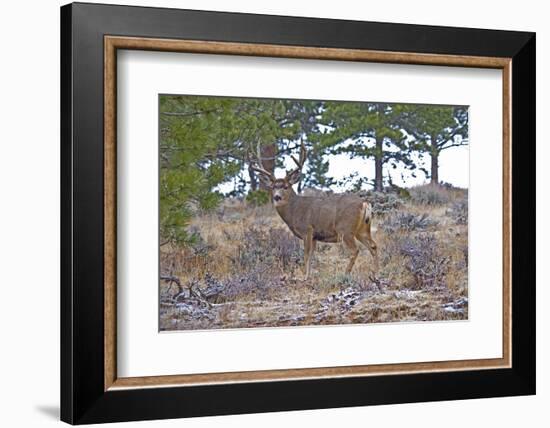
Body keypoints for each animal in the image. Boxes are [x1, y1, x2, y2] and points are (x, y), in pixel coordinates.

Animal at [251, 142, 378, 280]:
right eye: (273, 187)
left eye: (286, 187)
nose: (277, 197)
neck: (294, 211)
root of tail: (365, 203)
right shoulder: (315, 236)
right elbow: (311, 255)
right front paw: (309, 275)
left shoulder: (307, 230)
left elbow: (306, 255)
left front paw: (304, 277)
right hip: (362, 229)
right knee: (373, 246)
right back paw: (375, 272)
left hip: (346, 229)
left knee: (355, 250)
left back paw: (346, 274)